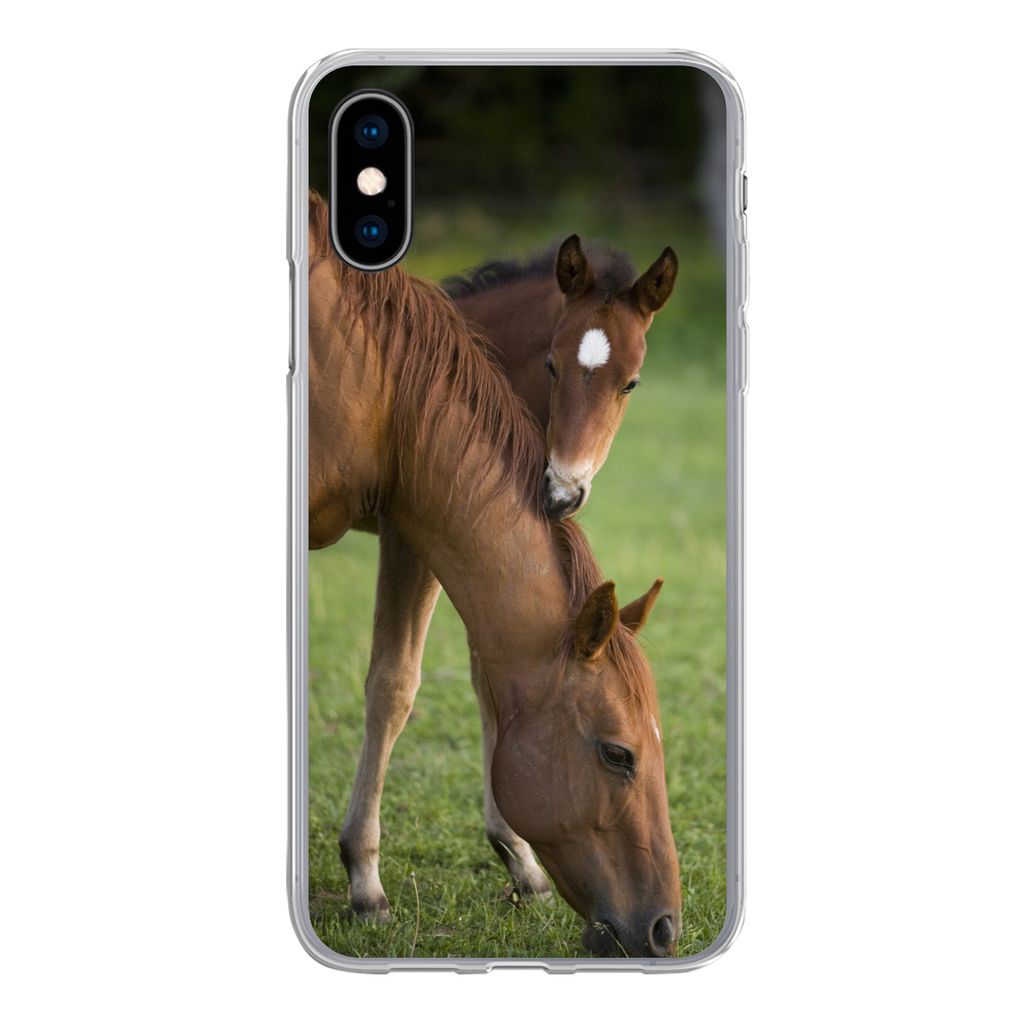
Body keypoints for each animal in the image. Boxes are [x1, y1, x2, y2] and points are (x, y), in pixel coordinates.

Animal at [308, 192, 681, 956]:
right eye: (552, 365)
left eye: (630, 382)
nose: (564, 489)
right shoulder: (412, 533)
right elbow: (394, 686)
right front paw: (365, 881)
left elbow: (488, 675)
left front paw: (519, 861)